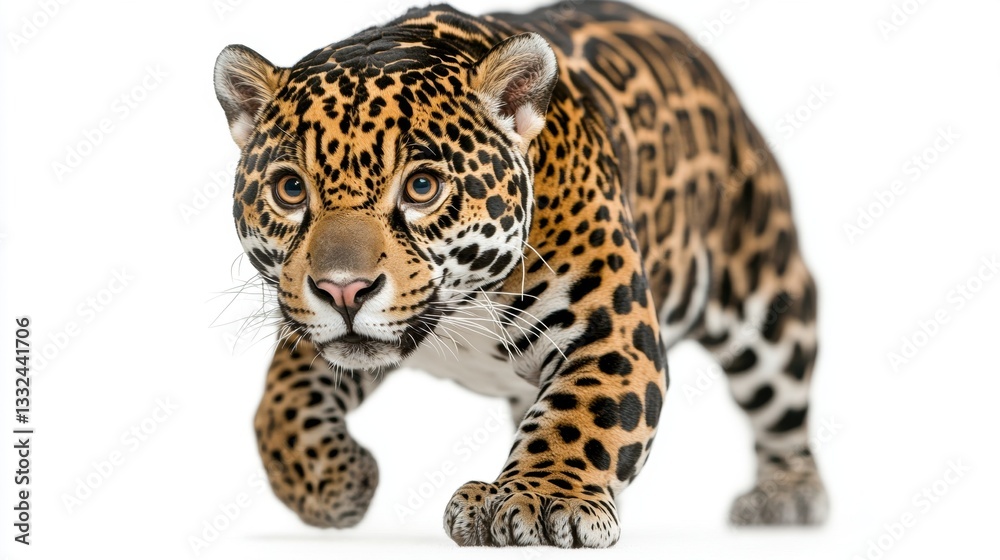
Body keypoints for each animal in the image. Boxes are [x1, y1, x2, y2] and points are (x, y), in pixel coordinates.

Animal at [213, 0, 828, 548]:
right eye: (291, 189)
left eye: (422, 187)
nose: (343, 289)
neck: (464, 306)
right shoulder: (309, 327)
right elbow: (280, 407)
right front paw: (337, 485)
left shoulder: (612, 329)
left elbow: (583, 413)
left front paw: (546, 498)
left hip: (768, 302)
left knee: (783, 407)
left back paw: (787, 494)